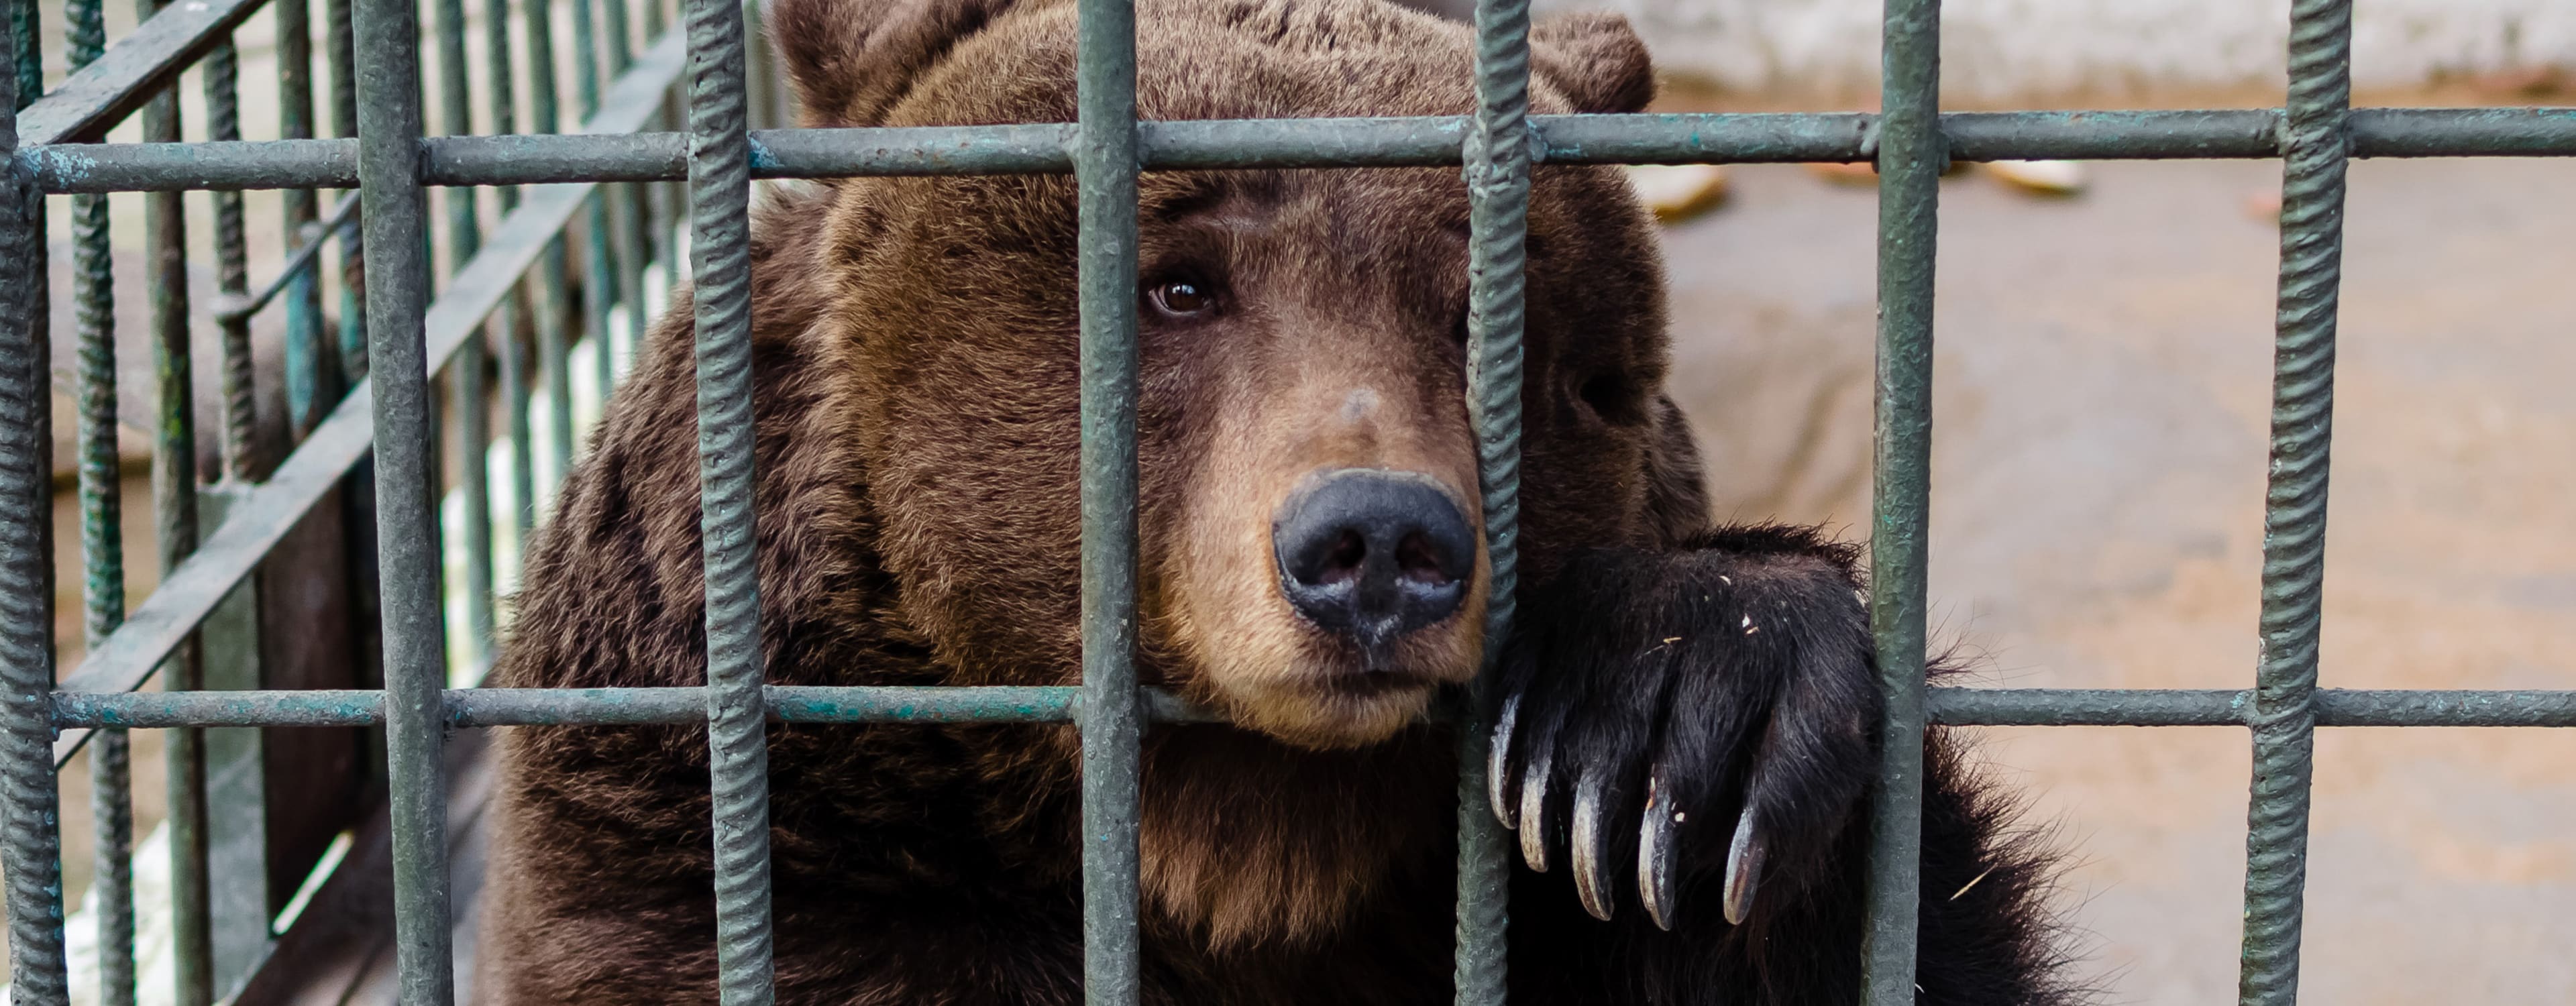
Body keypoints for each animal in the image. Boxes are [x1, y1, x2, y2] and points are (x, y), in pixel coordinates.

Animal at [479, 0, 2071, 998]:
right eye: (1179, 284)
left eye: (1483, 316)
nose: (1374, 543)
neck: (1240, 849)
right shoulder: (737, 865)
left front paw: (1677, 721)